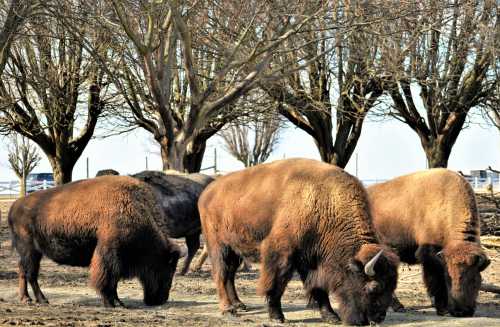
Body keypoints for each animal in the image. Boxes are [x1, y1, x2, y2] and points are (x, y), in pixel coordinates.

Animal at [8, 177, 182, 308]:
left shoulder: (116, 260)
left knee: (24, 271)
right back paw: (39, 300)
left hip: (33, 252)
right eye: (167, 268)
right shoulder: (109, 255)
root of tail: (14, 206)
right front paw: (111, 303)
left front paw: (119, 303)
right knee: (30, 273)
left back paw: (28, 299)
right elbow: (108, 280)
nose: (161, 300)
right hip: (29, 250)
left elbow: (114, 282)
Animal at [198, 159, 398, 326]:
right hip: (218, 245)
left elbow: (318, 288)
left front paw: (331, 316)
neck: (325, 201)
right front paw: (277, 316)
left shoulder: (311, 259)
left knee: (230, 274)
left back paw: (239, 304)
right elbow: (276, 283)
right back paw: (228, 309)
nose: (378, 318)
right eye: (374, 287)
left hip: (235, 249)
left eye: (393, 284)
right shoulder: (282, 252)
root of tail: (207, 192)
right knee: (221, 273)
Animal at [370, 169, 490, 318]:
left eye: (475, 279)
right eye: (449, 278)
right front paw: (442, 309)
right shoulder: (428, 255)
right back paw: (398, 306)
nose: (461, 311)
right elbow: (435, 280)